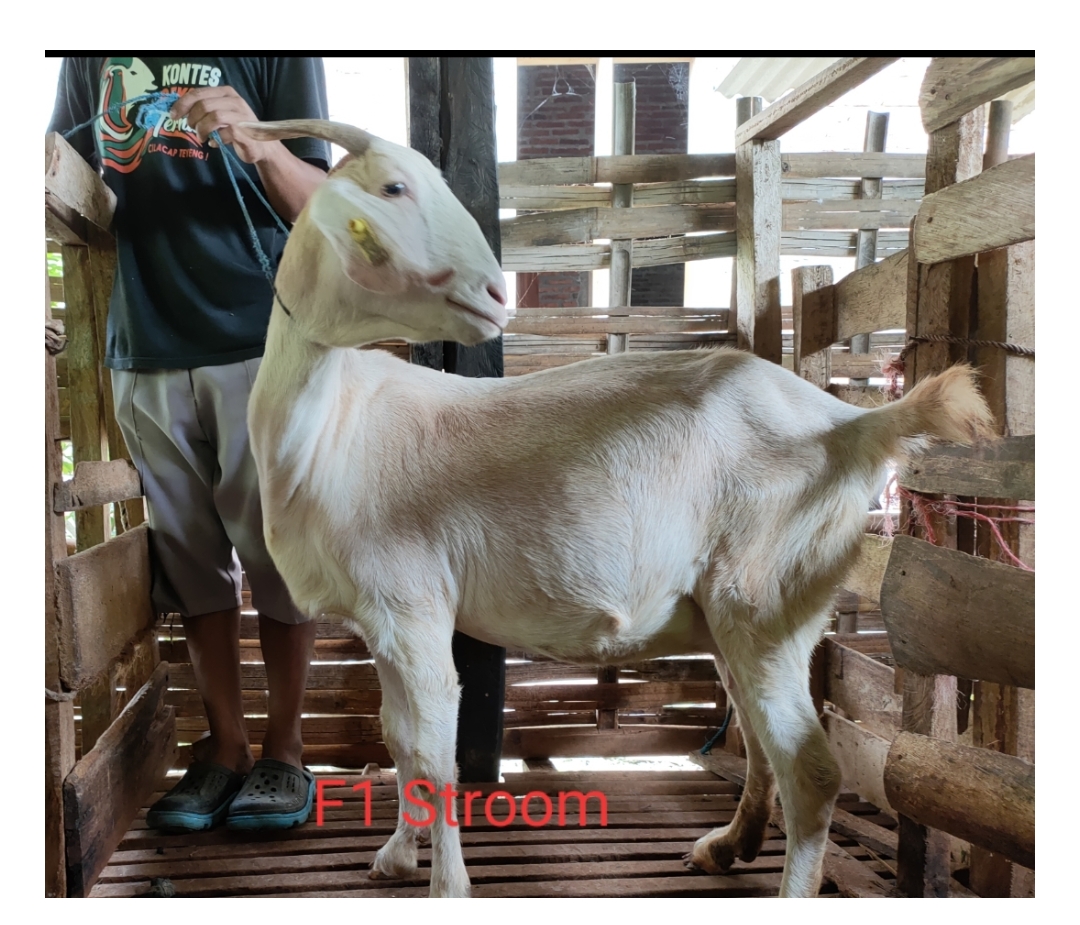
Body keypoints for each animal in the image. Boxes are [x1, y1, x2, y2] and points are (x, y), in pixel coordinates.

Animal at [242, 118, 995, 898]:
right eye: (394, 187)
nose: (496, 293)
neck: (334, 422)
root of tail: (850, 424)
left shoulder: (411, 604)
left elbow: (432, 753)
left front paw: (445, 886)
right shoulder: (382, 619)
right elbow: (398, 740)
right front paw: (396, 853)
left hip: (766, 592)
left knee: (811, 772)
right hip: (741, 611)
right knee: (755, 735)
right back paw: (730, 843)